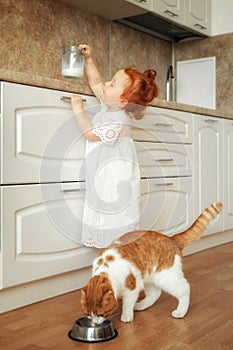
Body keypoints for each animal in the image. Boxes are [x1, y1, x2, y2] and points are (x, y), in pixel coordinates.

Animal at [81, 202, 223, 322]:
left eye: (101, 314)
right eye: (88, 314)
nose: (94, 323)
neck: (106, 268)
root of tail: (171, 239)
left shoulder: (133, 288)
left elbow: (127, 303)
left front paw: (126, 315)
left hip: (166, 277)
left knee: (185, 288)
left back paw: (180, 312)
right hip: (149, 277)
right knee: (155, 293)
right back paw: (141, 305)